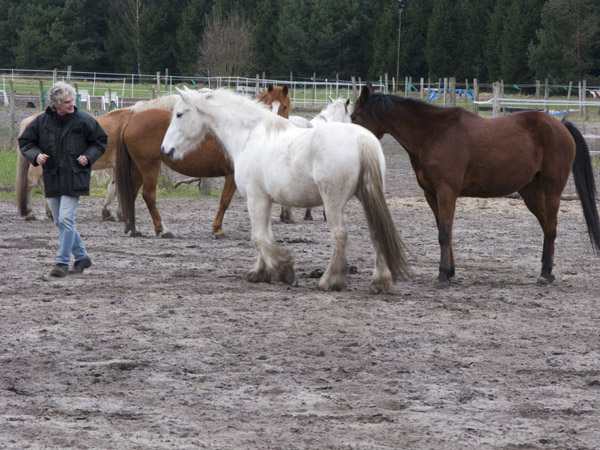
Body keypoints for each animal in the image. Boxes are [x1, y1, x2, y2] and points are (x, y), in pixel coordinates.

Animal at [116, 85, 292, 239]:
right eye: (269, 106)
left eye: (285, 106)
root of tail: (131, 118)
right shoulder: (231, 176)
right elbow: (225, 201)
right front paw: (217, 229)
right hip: (149, 167)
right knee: (148, 195)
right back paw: (161, 229)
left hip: (138, 169)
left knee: (131, 194)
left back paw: (132, 228)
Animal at [162, 89, 410, 294]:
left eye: (179, 115)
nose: (166, 149)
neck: (250, 136)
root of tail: (362, 139)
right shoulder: (266, 200)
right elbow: (266, 235)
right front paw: (262, 272)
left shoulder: (256, 199)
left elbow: (258, 238)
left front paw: (284, 271)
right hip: (368, 197)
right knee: (376, 233)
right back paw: (380, 282)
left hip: (333, 202)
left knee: (340, 235)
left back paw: (330, 281)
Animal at [352, 81, 600, 284]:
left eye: (355, 117)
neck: (433, 134)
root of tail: (561, 125)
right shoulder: (431, 195)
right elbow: (444, 231)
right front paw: (450, 271)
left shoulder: (446, 192)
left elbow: (444, 232)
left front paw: (443, 274)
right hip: (530, 192)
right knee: (546, 225)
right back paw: (547, 271)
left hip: (552, 190)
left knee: (551, 227)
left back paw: (545, 273)